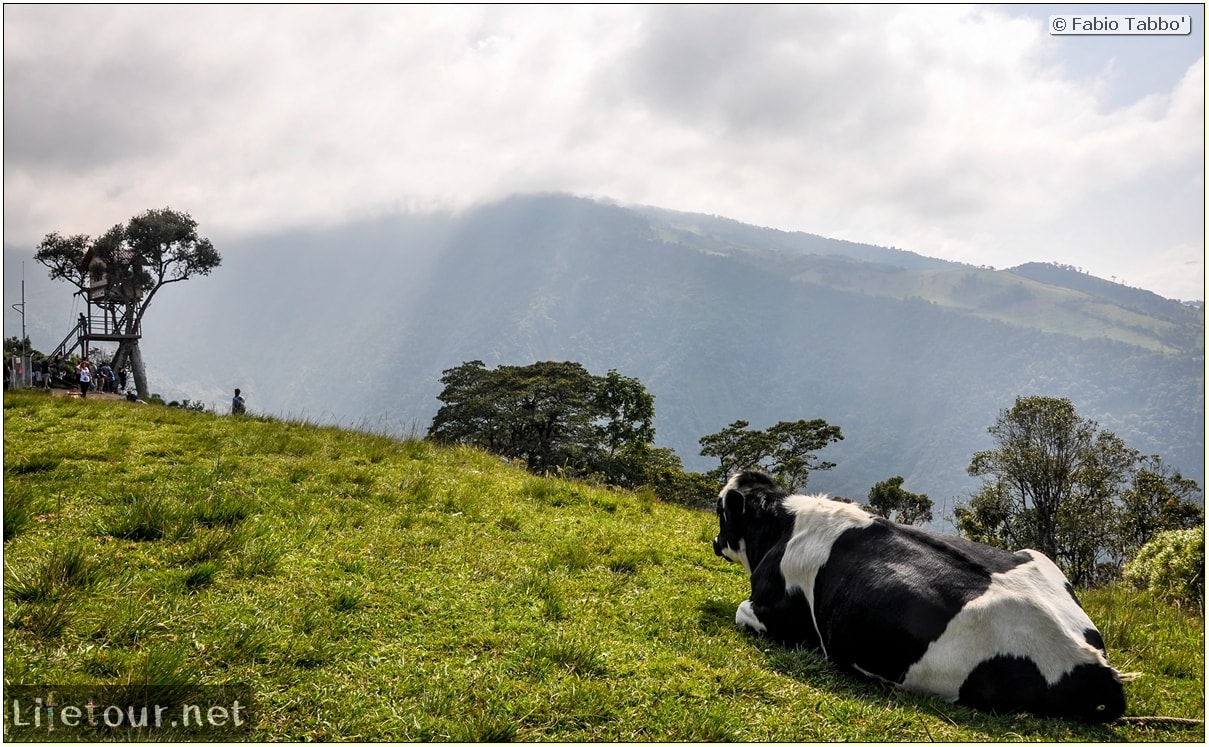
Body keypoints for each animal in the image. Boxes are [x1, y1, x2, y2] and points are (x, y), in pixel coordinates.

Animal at [710, 468, 1126, 720]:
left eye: (719, 510)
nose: (715, 542)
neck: (783, 527)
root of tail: (1095, 664)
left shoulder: (780, 616)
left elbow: (743, 611)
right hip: (1039, 558)